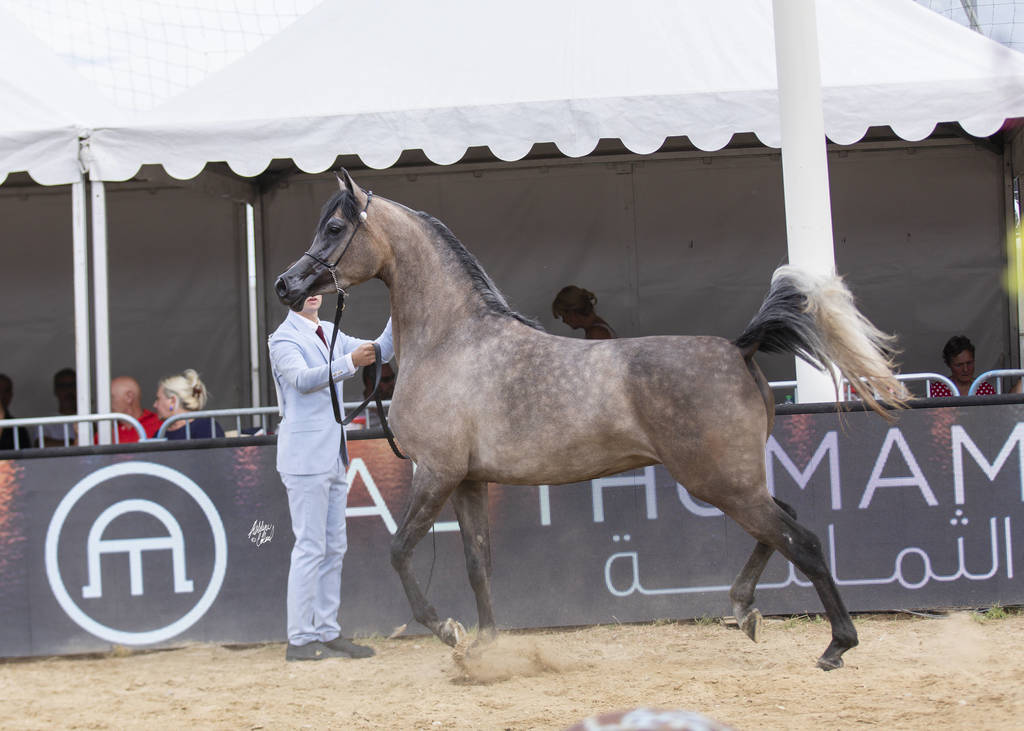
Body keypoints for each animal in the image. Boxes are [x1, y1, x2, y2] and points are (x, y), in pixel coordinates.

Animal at [274, 171, 907, 671]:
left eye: (335, 228)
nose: (287, 285)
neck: (452, 340)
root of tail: (739, 347)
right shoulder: (469, 481)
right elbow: (478, 564)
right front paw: (486, 647)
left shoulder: (436, 473)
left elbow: (400, 551)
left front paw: (449, 632)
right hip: (735, 481)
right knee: (783, 524)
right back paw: (744, 607)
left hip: (721, 482)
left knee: (802, 539)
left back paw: (835, 645)